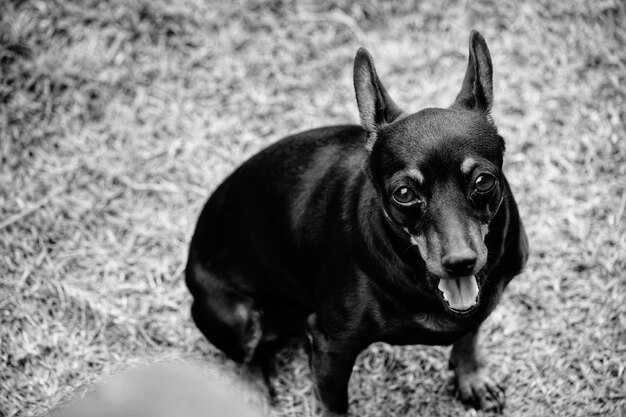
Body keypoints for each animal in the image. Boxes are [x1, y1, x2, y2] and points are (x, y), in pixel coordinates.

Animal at [185, 30, 528, 414]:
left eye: (484, 181)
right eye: (404, 193)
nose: (460, 263)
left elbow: (470, 335)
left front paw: (472, 377)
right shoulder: (331, 345)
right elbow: (333, 405)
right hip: (237, 320)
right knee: (247, 358)